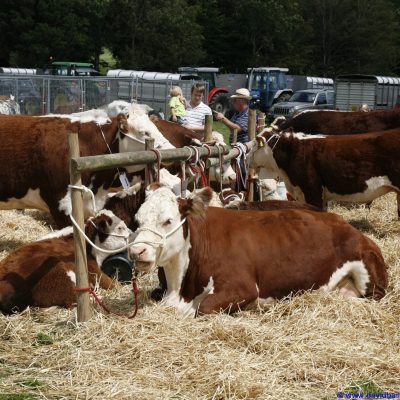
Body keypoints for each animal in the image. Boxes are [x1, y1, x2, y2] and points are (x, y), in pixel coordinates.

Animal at [0, 208, 130, 314]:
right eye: (120, 228)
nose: (131, 234)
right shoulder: (92, 268)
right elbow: (111, 284)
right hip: (60, 273)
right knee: (73, 300)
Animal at [128, 188, 388, 316]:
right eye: (137, 220)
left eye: (168, 221)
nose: (136, 251)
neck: (181, 287)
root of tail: (344, 223)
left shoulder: (243, 287)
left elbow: (203, 308)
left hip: (367, 271)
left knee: (370, 298)